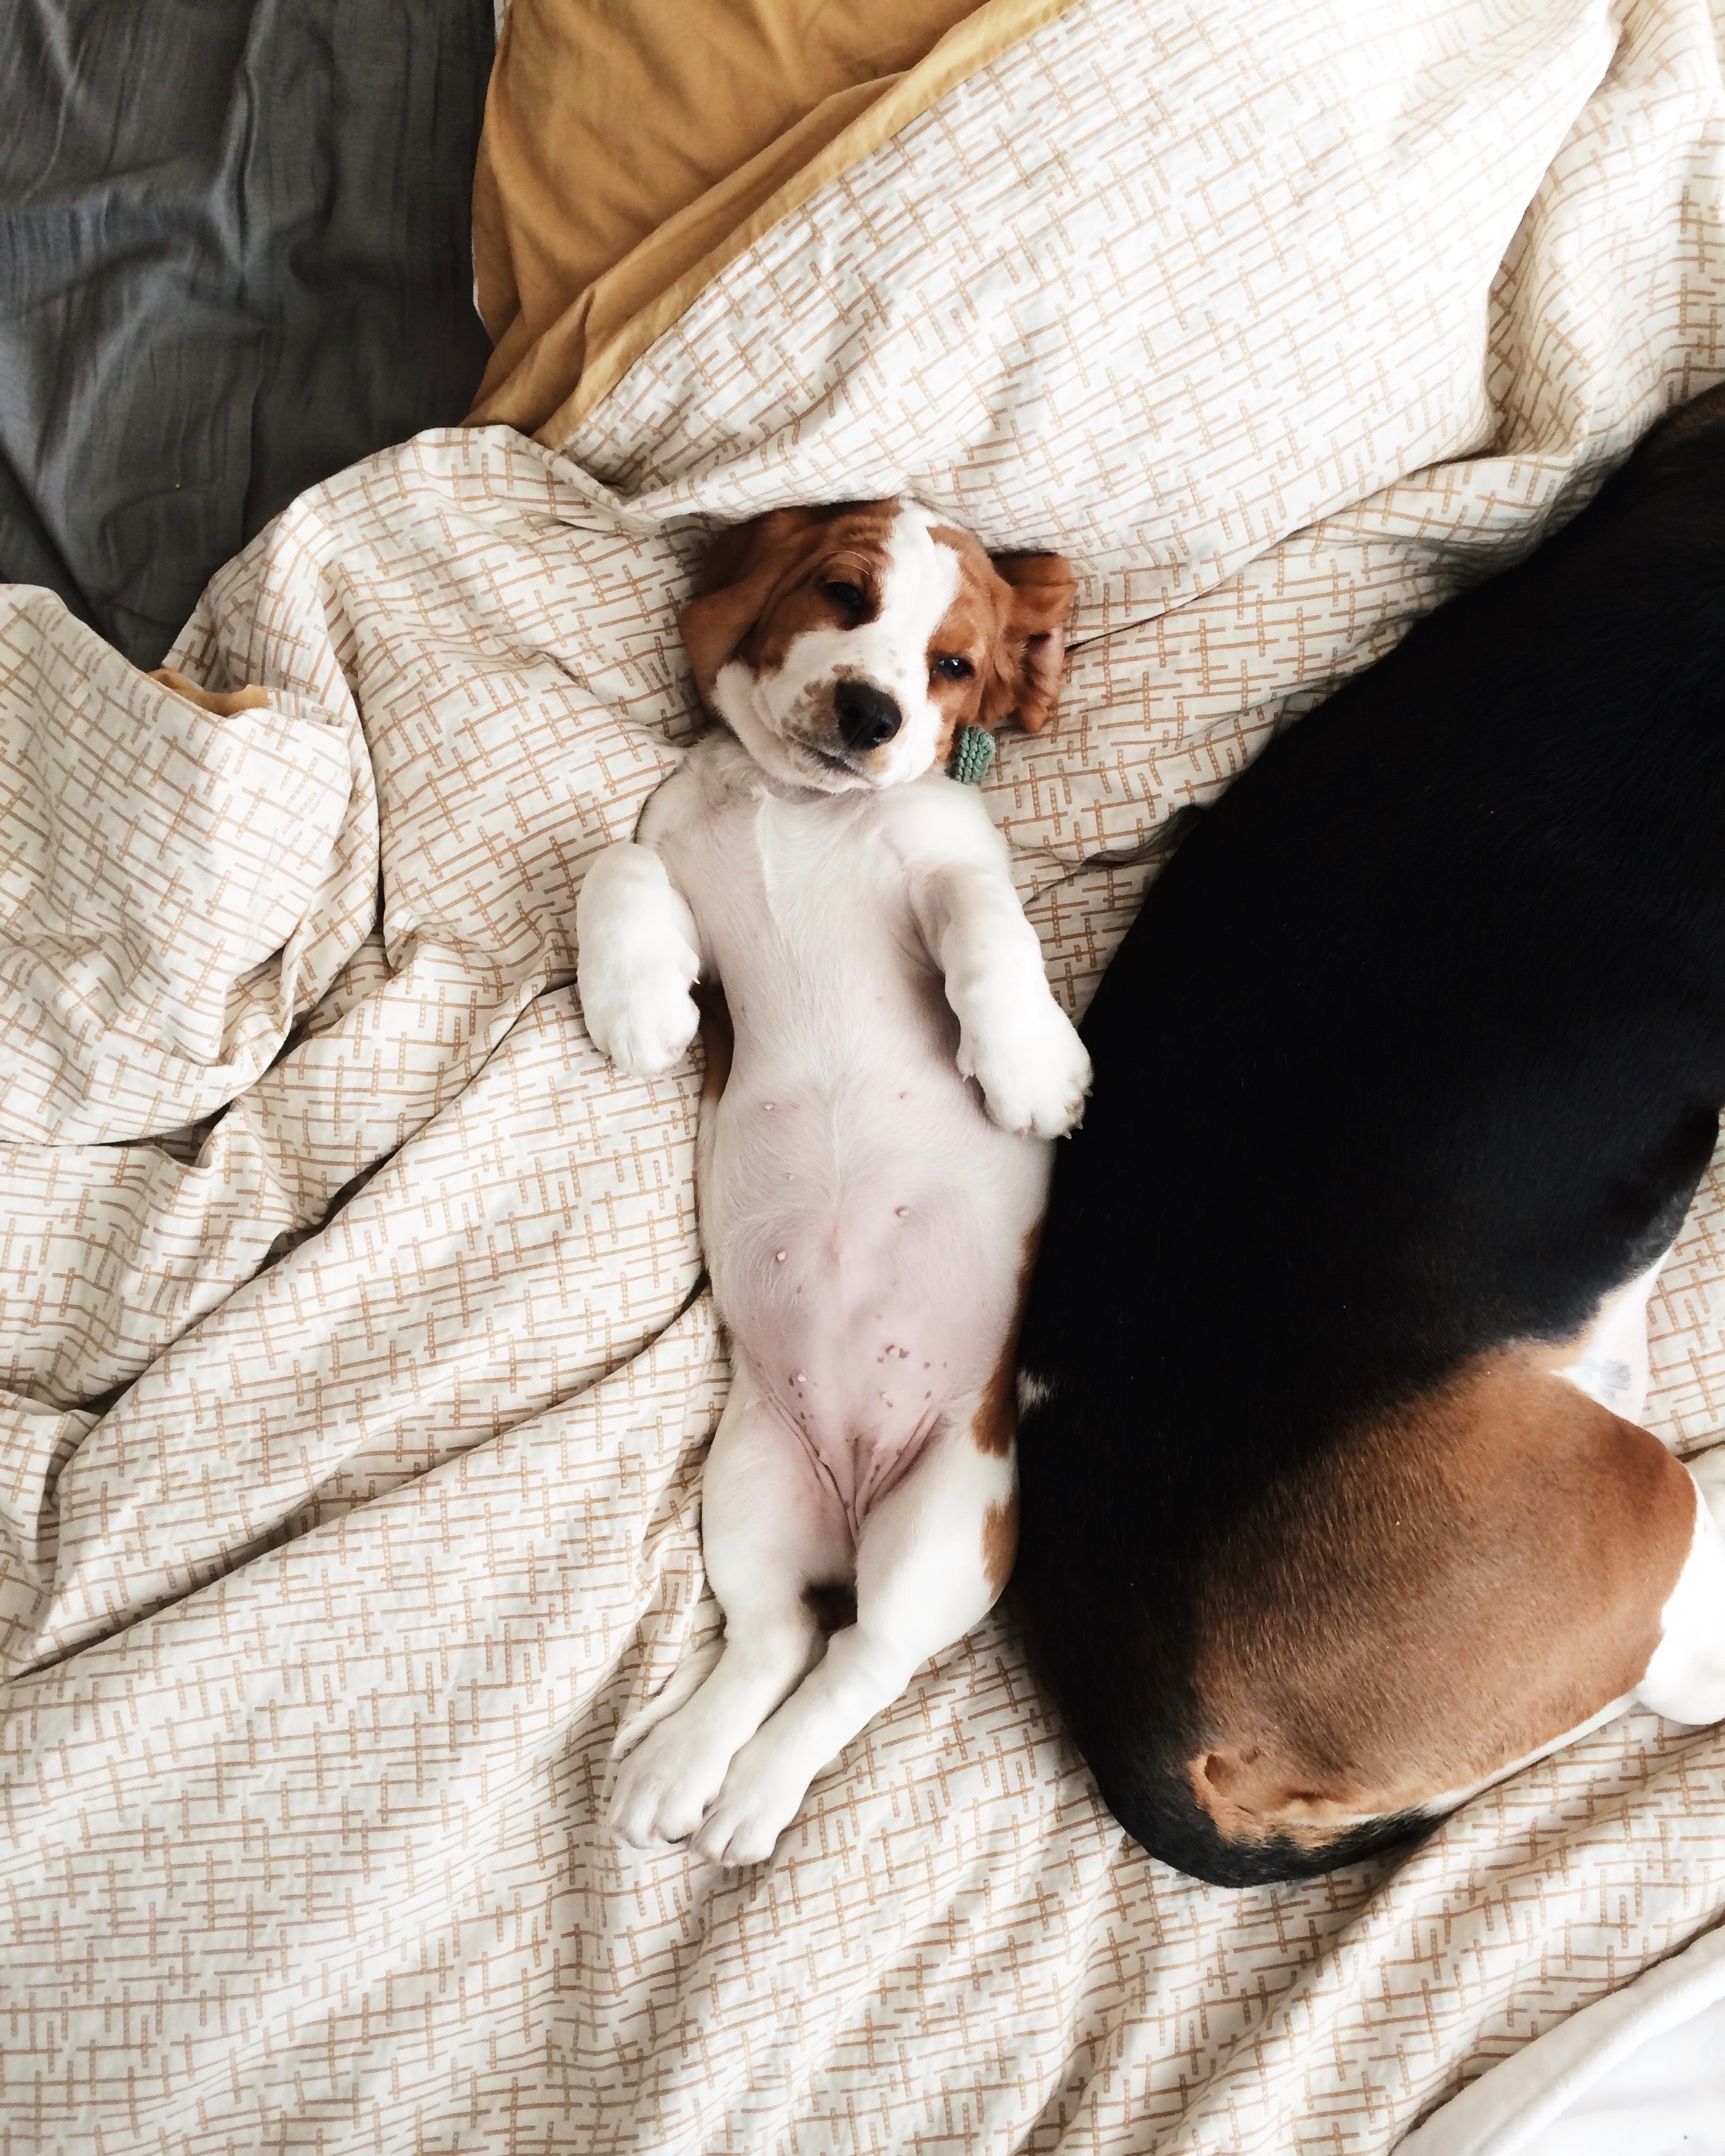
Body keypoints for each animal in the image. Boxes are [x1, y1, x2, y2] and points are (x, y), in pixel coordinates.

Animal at [578, 495, 1091, 1862]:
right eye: (844, 596)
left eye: (953, 665)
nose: (872, 714)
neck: (791, 802)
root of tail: (857, 1497)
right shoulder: (671, 877)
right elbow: (611, 868)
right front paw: (636, 1004)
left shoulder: (950, 874)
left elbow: (985, 925)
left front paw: (1027, 1062)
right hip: (751, 1487)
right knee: (777, 1640)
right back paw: (681, 1773)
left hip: (946, 1526)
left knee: (857, 1663)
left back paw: (756, 1794)